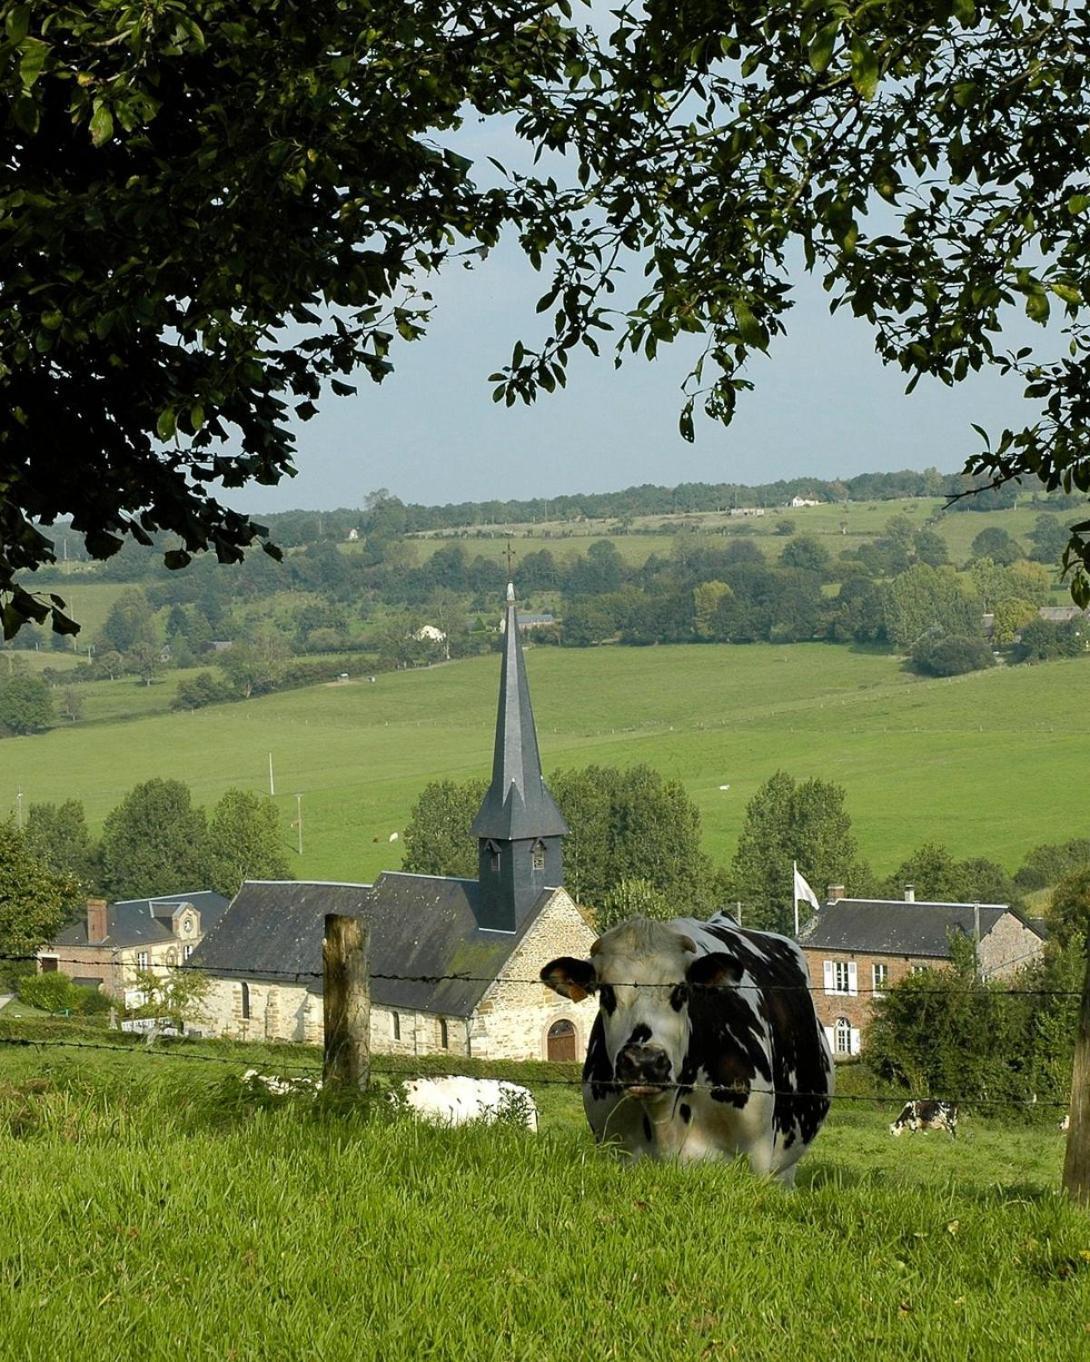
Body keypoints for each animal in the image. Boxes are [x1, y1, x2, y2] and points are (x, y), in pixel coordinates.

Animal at [539, 909, 828, 1187]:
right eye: (607, 993)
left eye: (680, 991)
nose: (643, 1062)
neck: (665, 1123)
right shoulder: (618, 1150)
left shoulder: (756, 1156)